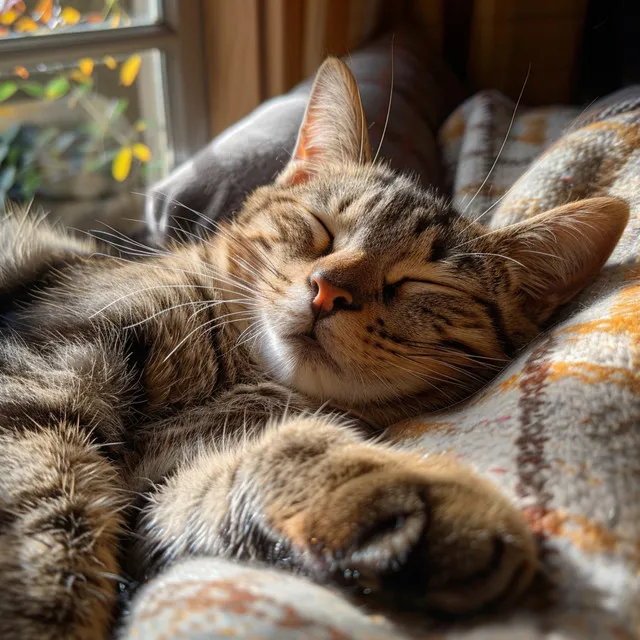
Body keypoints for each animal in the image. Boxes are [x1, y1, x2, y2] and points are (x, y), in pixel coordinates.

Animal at [0, 57, 632, 636]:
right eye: (322, 229)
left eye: (419, 282)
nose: (328, 289)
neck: (234, 376)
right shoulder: (39, 376)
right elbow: (45, 514)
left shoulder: (159, 487)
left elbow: (274, 456)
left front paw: (415, 510)